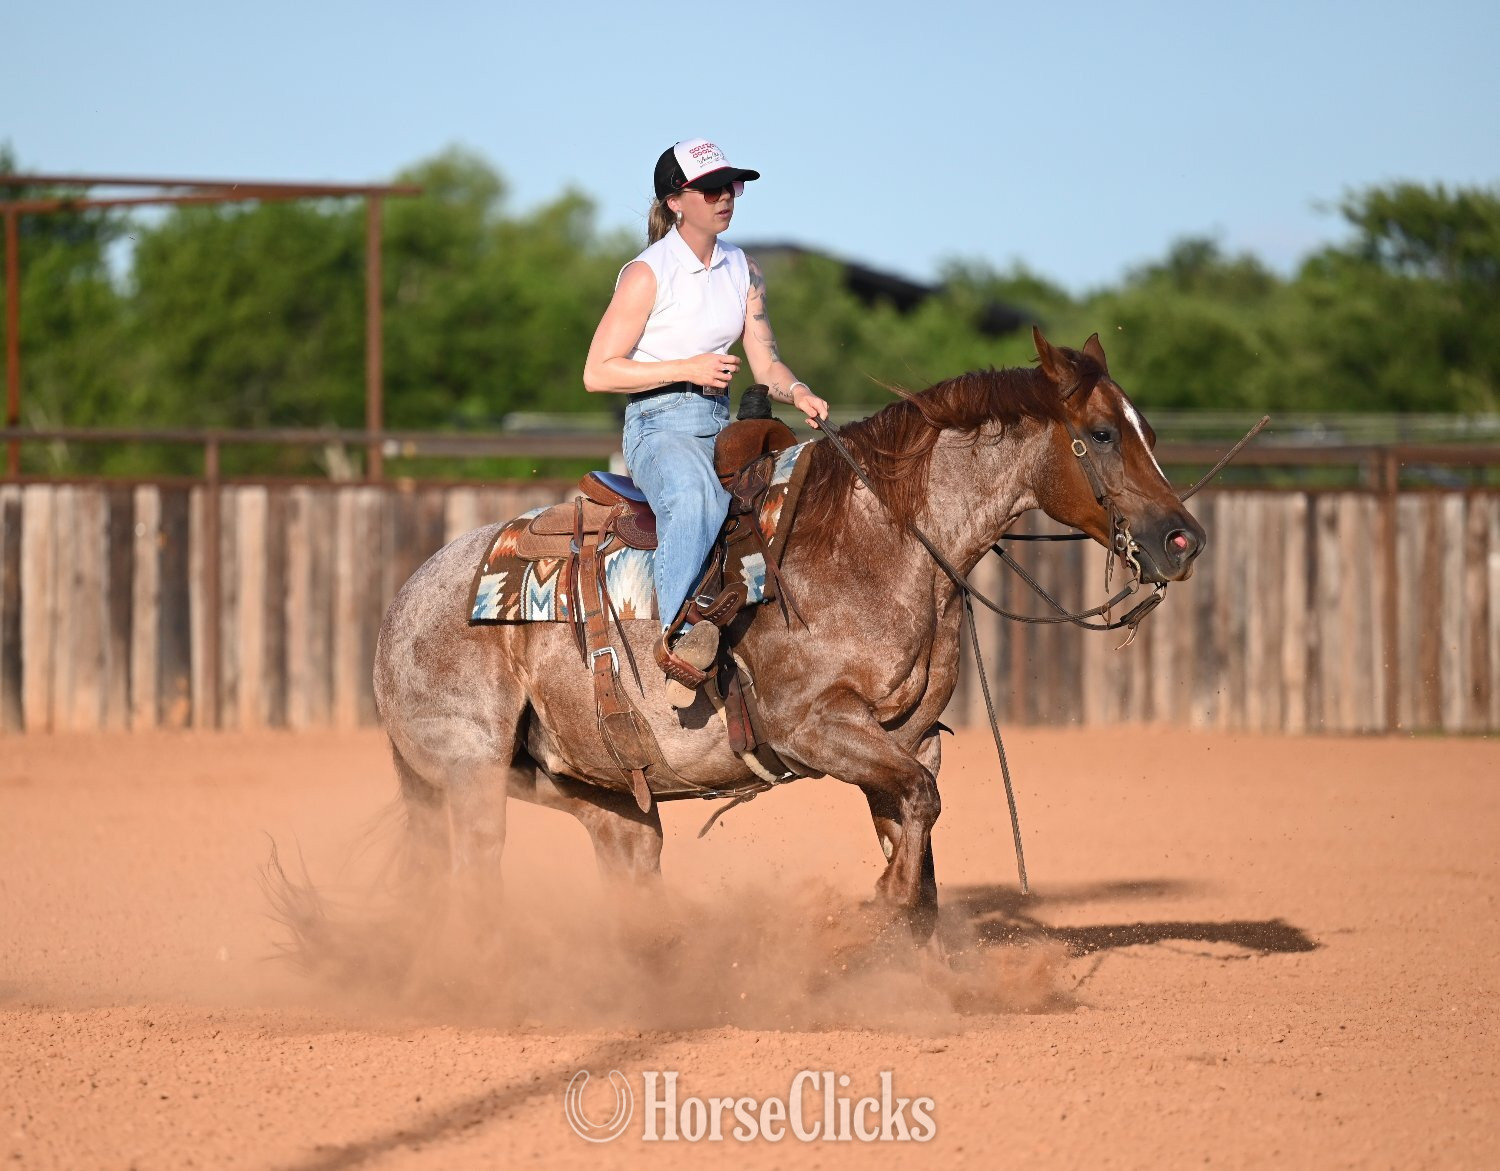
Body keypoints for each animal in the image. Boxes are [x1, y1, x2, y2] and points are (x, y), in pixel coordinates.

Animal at [370, 328, 1205, 947]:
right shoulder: (812, 725)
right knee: (473, 882)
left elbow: (917, 826)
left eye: (1144, 429)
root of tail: (403, 603)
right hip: (471, 775)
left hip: (600, 796)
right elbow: (919, 807)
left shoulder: (908, 736)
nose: (1183, 538)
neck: (875, 542)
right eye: (1101, 432)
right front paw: (880, 907)